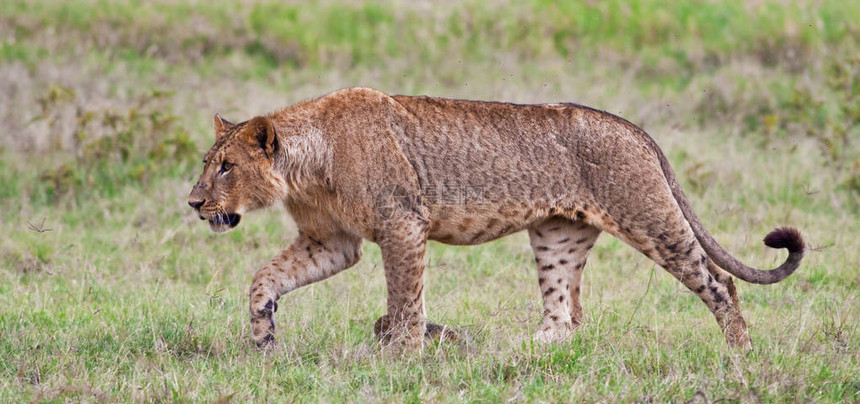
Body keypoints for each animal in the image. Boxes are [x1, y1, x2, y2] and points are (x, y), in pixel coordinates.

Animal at [190, 87, 808, 350]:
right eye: (206, 164)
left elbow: (405, 301)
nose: (194, 204)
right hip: (557, 236)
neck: (306, 167)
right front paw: (263, 340)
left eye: (226, 167)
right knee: (564, 317)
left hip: (650, 218)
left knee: (720, 283)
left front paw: (399, 356)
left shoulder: (402, 225)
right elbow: (264, 279)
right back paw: (514, 349)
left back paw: (740, 356)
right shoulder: (333, 241)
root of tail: (633, 127)